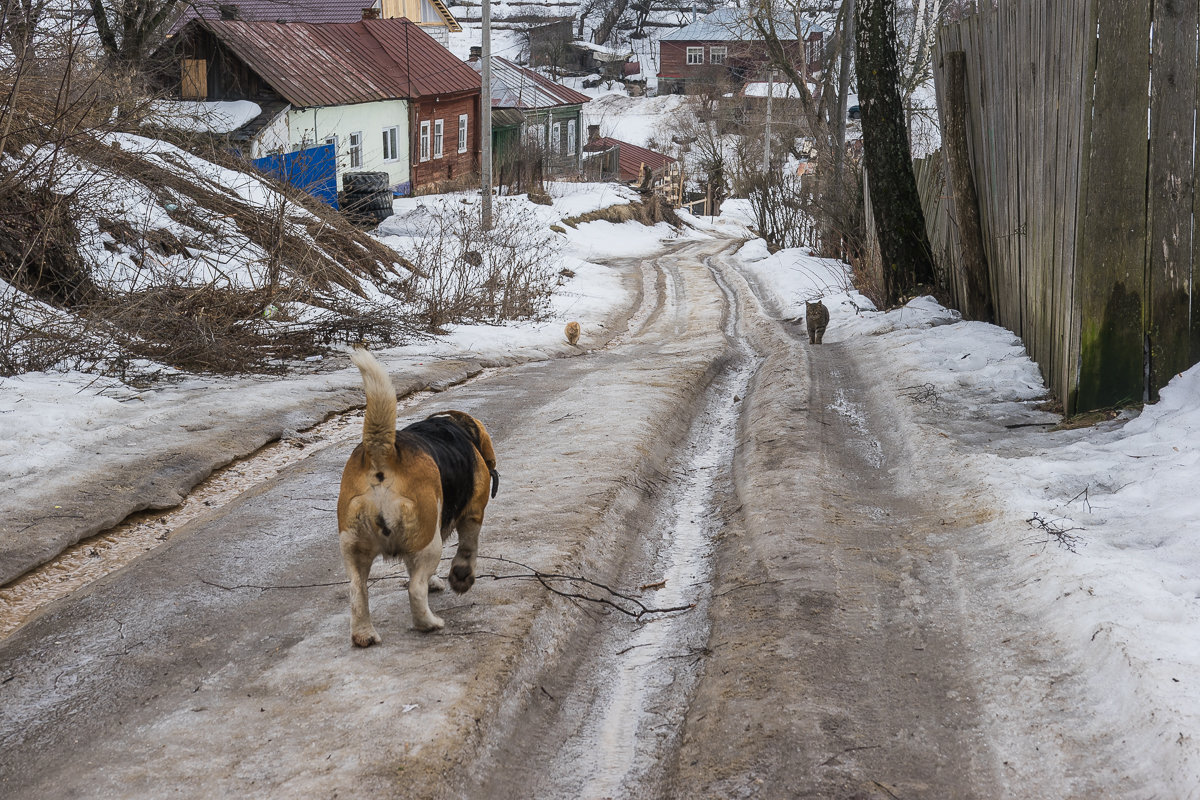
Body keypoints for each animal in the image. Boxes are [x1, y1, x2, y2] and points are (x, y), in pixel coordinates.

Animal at [338, 347, 496, 647]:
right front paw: (461, 577)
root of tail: (383, 452)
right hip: (428, 540)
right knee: (415, 588)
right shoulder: (473, 514)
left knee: (357, 590)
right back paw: (429, 624)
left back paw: (364, 635)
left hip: (354, 545)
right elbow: (468, 547)